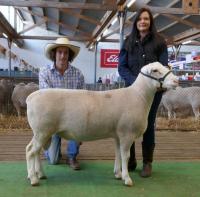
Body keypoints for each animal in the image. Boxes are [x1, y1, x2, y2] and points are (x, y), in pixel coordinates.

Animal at [25, 62, 178, 187]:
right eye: (155, 70)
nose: (176, 80)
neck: (139, 96)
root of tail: (31, 97)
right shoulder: (127, 133)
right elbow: (125, 155)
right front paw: (127, 179)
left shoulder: (118, 134)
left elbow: (118, 153)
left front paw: (118, 174)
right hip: (42, 130)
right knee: (30, 151)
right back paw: (33, 178)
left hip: (41, 132)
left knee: (35, 151)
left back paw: (40, 174)